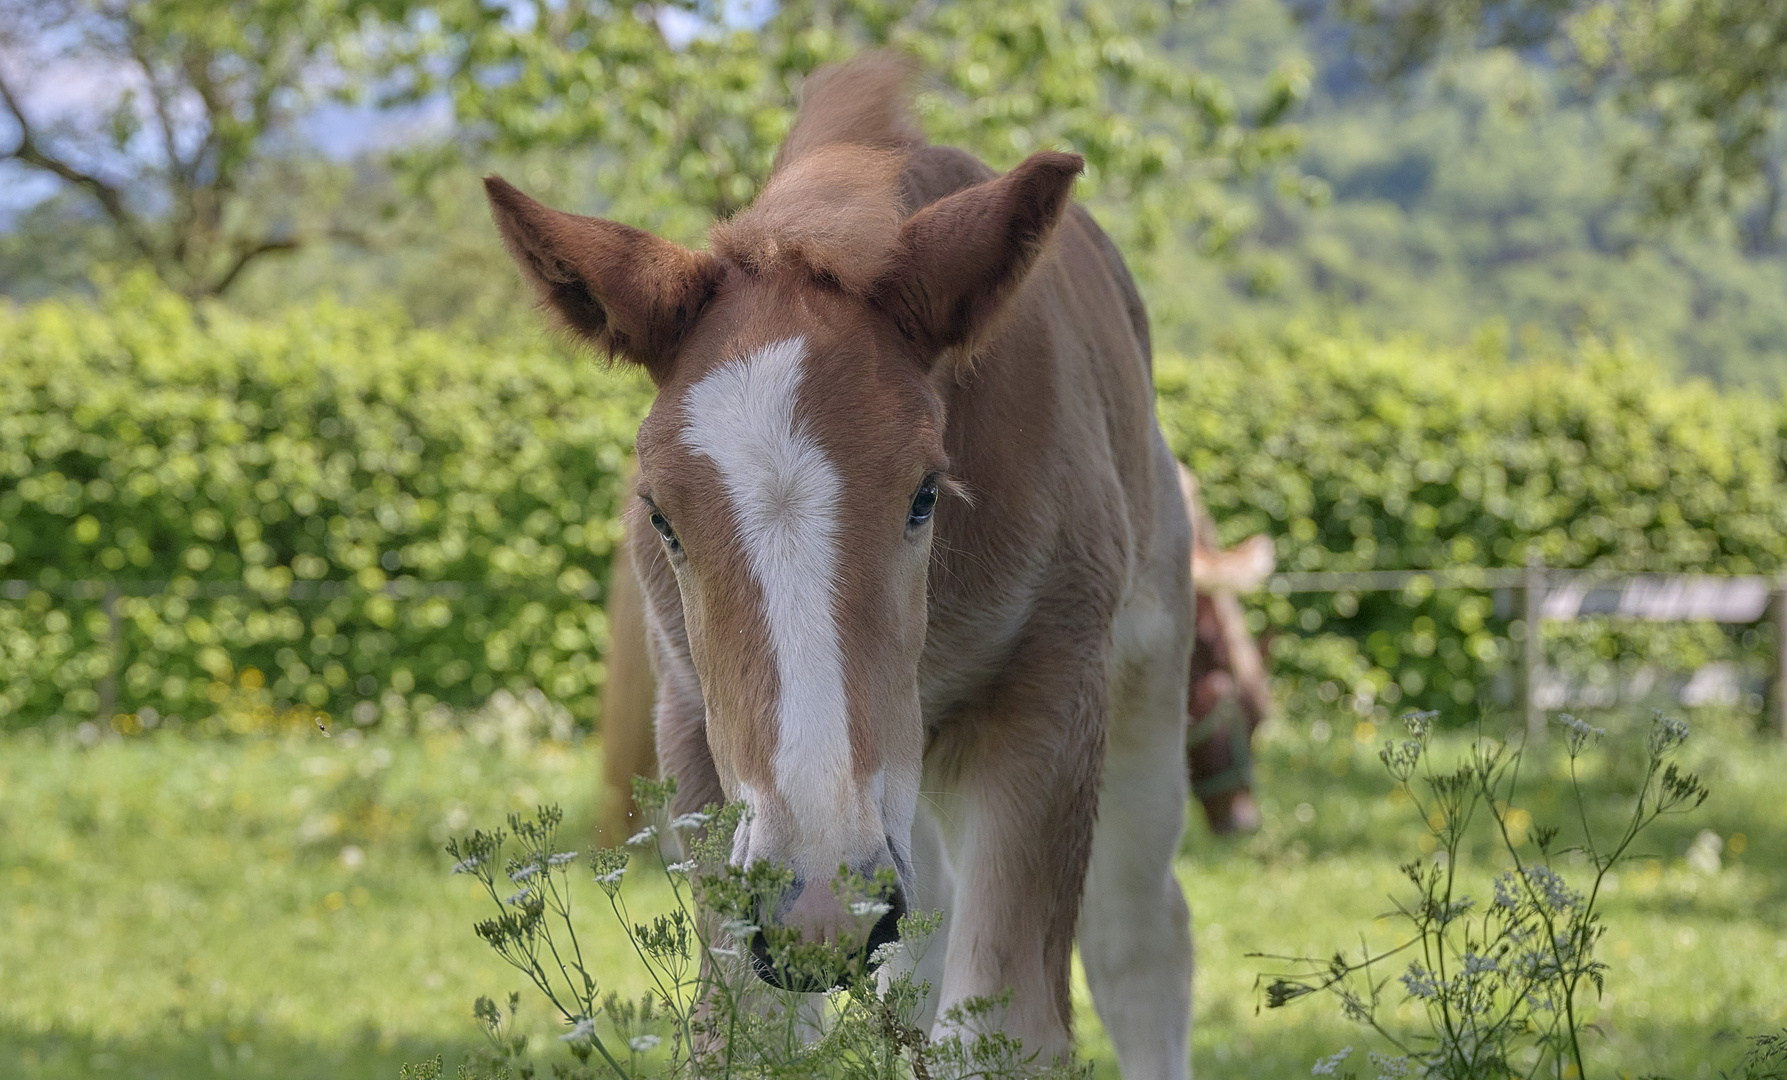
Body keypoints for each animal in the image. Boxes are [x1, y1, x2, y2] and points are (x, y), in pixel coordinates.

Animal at [482, 52, 1193, 1080]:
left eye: (926, 494)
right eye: (659, 517)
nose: (819, 907)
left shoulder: (1050, 698)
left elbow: (1005, 1033)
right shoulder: (693, 726)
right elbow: (748, 1035)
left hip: (1143, 681)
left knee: (1138, 941)